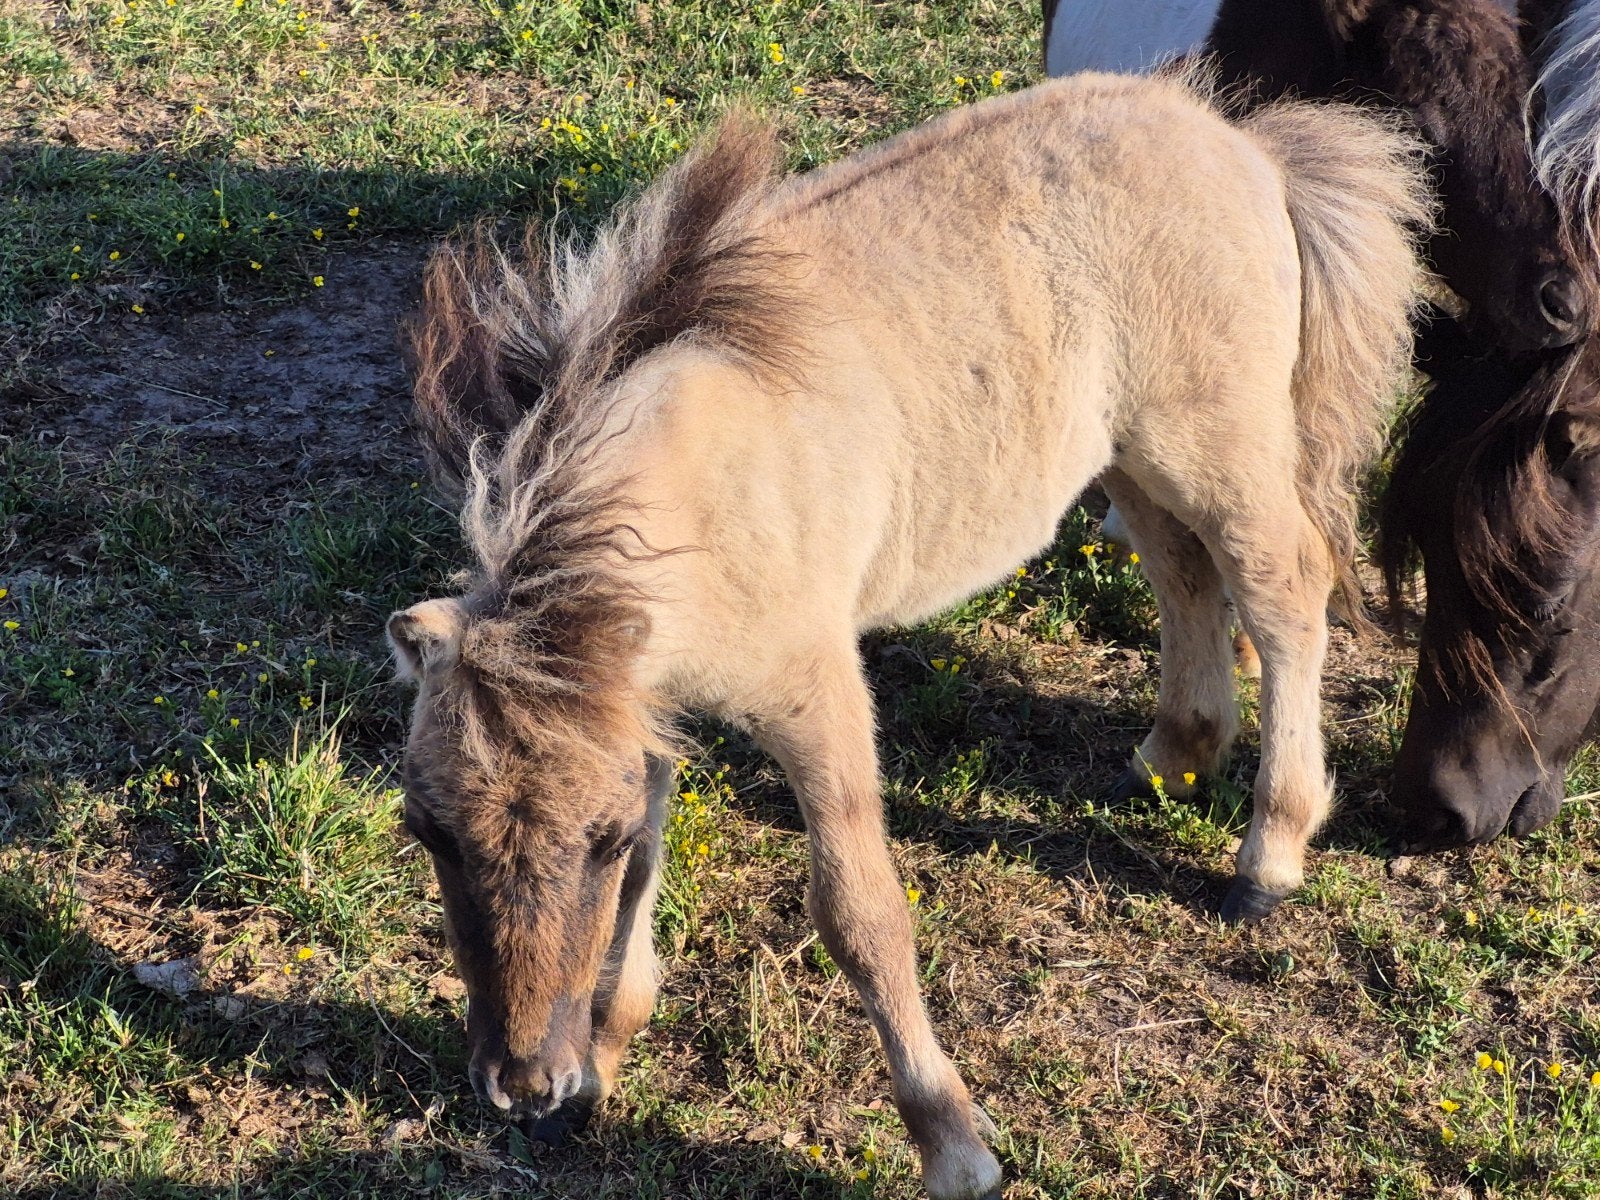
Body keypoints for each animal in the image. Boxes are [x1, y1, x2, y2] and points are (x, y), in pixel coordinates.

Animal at [389, 74, 1429, 1199]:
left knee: (1283, 593)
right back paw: (1174, 754)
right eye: (429, 832)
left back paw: (1269, 853)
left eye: (598, 838)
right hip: (1130, 451)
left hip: (1217, 445)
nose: (521, 1084)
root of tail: (1242, 142)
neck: (691, 493)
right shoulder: (645, 714)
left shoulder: (814, 694)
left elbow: (859, 914)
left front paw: (952, 1142)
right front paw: (599, 1074)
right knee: (1181, 572)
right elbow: (643, 893)